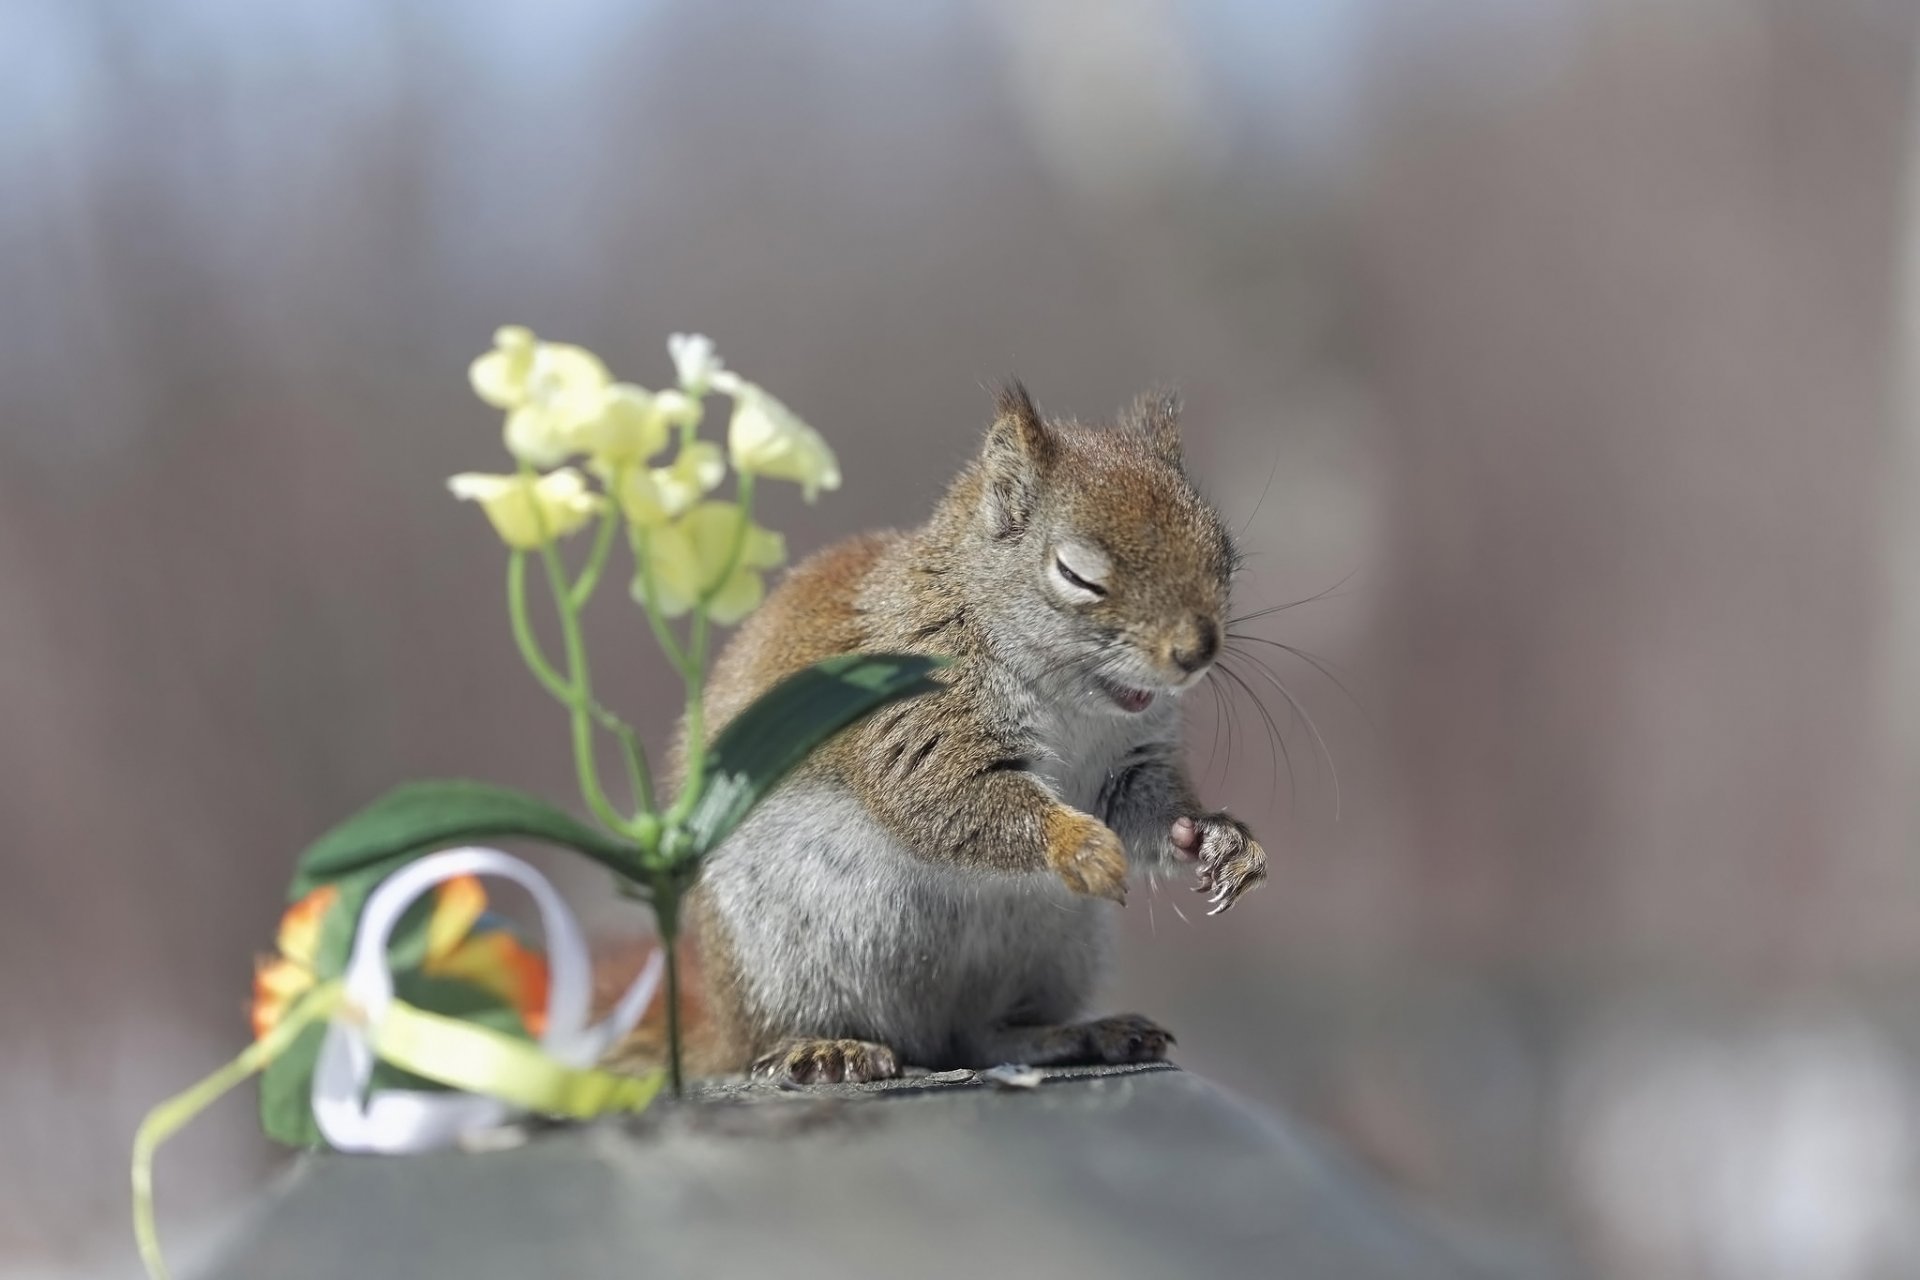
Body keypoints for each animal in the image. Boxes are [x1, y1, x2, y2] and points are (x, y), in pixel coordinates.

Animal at [646, 383, 1267, 1085]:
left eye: (1224, 556)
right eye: (1077, 575)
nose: (1196, 653)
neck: (1073, 703)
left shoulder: (1132, 761)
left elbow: (1146, 806)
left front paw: (1217, 838)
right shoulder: (915, 720)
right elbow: (948, 797)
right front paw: (1081, 845)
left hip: (1052, 952)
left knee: (983, 1037)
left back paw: (1082, 1033)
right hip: (788, 954)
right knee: (776, 1038)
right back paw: (826, 1047)